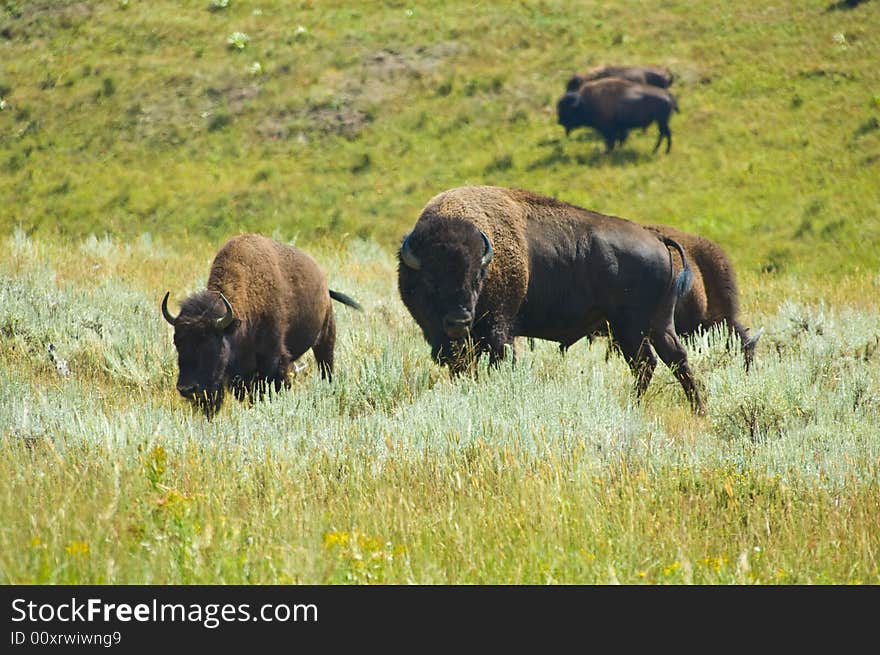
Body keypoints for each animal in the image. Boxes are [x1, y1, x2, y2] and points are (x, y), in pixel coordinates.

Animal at [162, 233, 360, 418]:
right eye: (177, 342)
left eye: (210, 344)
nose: (187, 388)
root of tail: (324, 284)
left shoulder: (273, 361)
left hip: (325, 338)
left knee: (326, 367)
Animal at [398, 183, 708, 416]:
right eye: (430, 280)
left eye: (477, 277)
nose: (459, 321)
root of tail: (657, 239)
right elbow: (464, 368)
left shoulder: (500, 332)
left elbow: (499, 362)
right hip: (656, 324)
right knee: (673, 358)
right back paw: (696, 410)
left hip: (632, 327)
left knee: (647, 363)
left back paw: (643, 406)